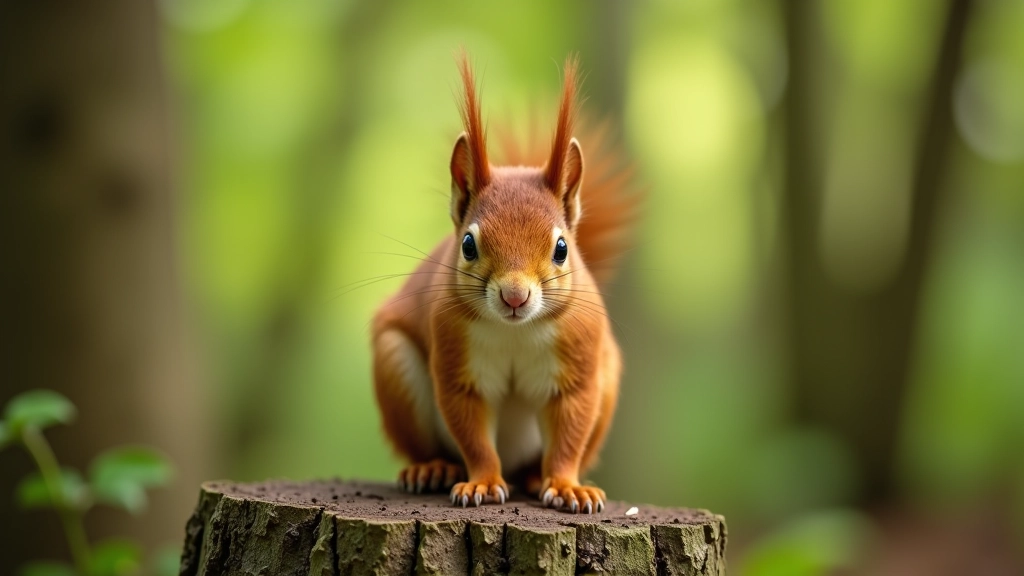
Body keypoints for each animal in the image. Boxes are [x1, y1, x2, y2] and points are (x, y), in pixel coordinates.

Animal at [371, 53, 639, 514]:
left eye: (562, 248)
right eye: (467, 244)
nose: (515, 296)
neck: (515, 331)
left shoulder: (578, 368)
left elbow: (569, 434)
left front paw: (566, 486)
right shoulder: (458, 364)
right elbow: (474, 436)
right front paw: (481, 483)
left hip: (606, 375)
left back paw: (535, 477)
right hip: (394, 363)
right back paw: (433, 468)